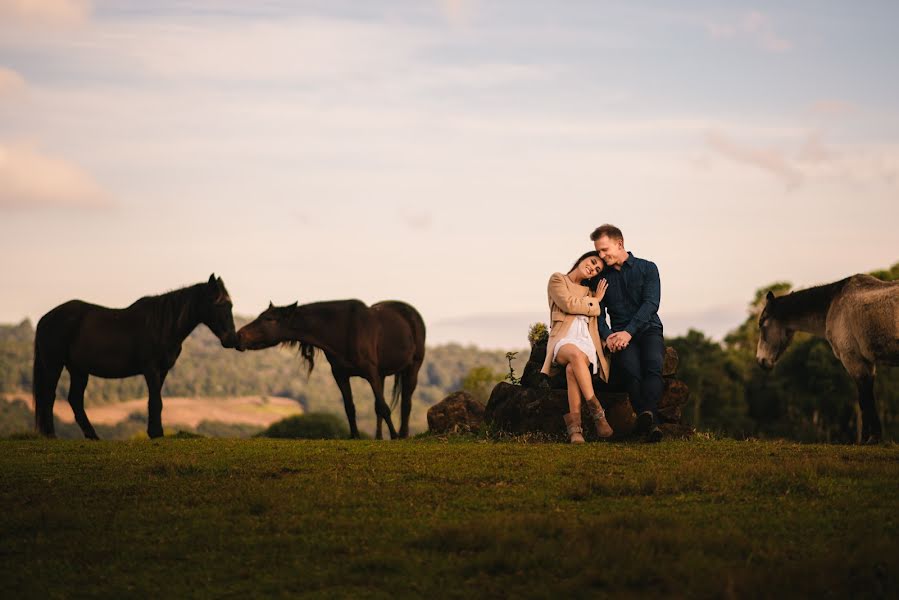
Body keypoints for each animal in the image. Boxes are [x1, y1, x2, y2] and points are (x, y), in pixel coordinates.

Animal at [33, 274, 241, 438]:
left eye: (230, 305)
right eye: (220, 304)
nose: (231, 339)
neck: (162, 324)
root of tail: (44, 319)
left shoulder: (162, 371)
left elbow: (155, 400)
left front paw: (153, 432)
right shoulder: (151, 369)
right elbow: (156, 401)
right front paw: (157, 433)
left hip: (78, 370)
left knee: (75, 400)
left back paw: (93, 436)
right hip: (54, 365)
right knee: (49, 396)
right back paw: (51, 435)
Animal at [236, 298, 426, 438]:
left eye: (269, 319)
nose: (239, 336)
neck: (343, 329)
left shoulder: (370, 373)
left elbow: (383, 407)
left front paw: (394, 436)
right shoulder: (340, 374)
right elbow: (350, 407)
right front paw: (355, 436)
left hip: (412, 368)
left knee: (406, 403)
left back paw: (402, 434)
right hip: (382, 375)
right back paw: (379, 437)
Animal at [760, 274, 899, 442]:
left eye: (761, 325)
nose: (761, 360)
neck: (833, 304)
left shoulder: (853, 359)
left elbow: (864, 398)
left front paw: (869, 439)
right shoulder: (867, 363)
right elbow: (867, 397)